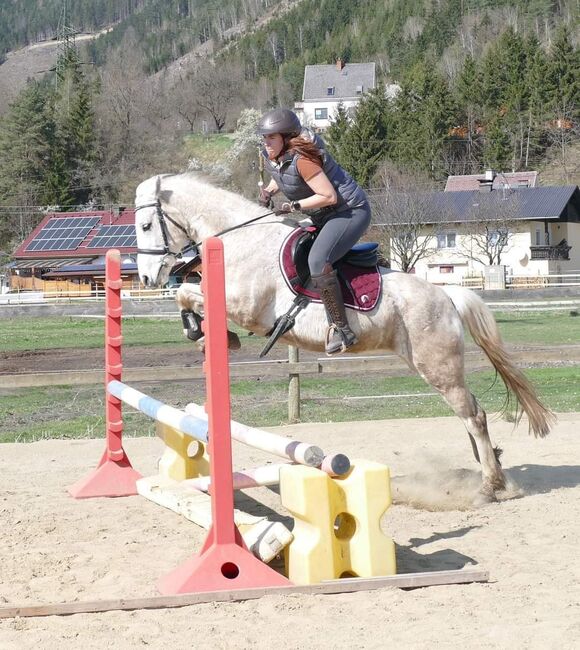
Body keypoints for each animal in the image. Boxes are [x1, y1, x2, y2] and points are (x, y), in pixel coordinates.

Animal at [134, 171, 556, 502]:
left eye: (145, 226)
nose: (147, 278)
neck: (241, 241)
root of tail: (447, 296)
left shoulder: (245, 308)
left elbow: (188, 293)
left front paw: (212, 333)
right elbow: (186, 295)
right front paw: (199, 330)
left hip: (439, 367)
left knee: (474, 415)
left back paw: (489, 485)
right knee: (469, 414)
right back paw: (493, 469)